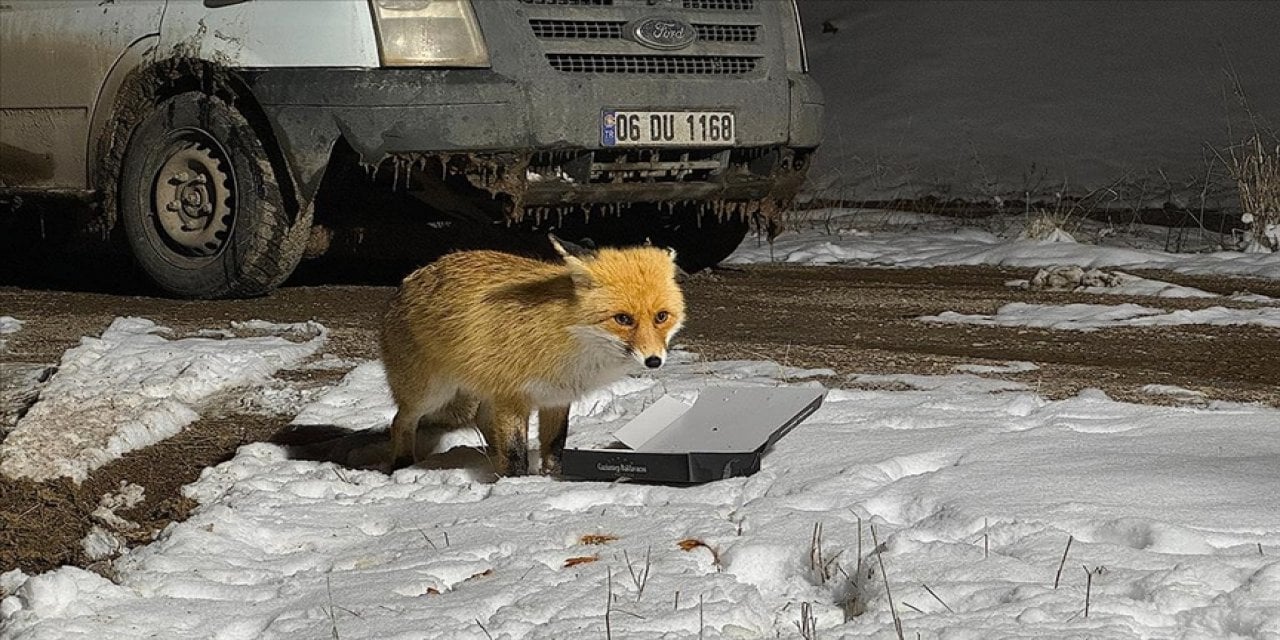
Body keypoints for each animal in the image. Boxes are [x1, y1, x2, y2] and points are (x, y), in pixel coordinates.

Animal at [376, 236, 686, 476]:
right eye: (623, 319)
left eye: (661, 317)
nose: (654, 361)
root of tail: (412, 277)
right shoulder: (512, 396)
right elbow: (515, 453)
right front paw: (516, 486)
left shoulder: (556, 396)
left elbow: (555, 445)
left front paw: (552, 478)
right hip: (432, 393)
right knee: (400, 421)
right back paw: (402, 464)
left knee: (482, 419)